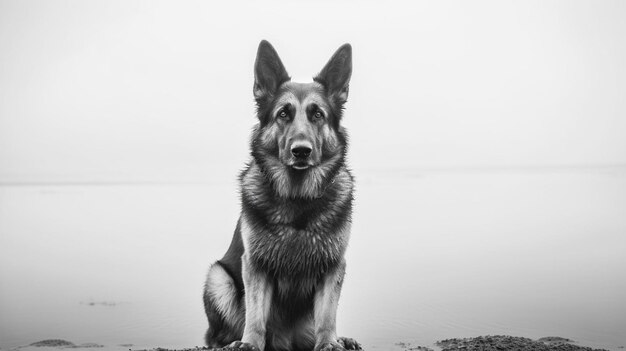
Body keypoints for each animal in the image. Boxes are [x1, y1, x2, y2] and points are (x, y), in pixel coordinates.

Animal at [202, 42, 358, 351]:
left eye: (318, 115)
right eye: (283, 114)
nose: (301, 151)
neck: (298, 202)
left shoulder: (333, 266)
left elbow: (327, 314)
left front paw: (329, 342)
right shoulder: (255, 266)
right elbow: (256, 315)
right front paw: (249, 343)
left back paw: (343, 339)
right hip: (217, 278)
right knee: (217, 335)